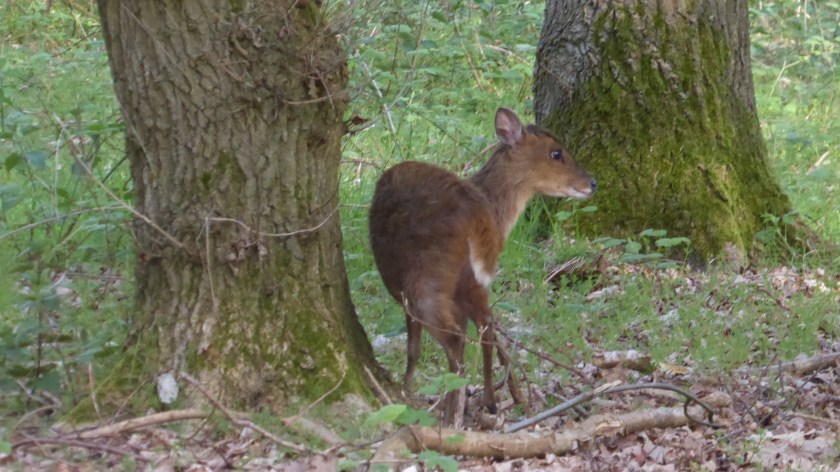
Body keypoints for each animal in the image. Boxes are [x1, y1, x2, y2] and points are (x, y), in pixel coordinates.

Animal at [369, 108, 596, 424]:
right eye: (556, 153)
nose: (592, 183)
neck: (495, 210)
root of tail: (475, 215)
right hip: (447, 278)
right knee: (473, 330)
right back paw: (470, 405)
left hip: (425, 279)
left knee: (454, 336)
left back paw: (450, 410)